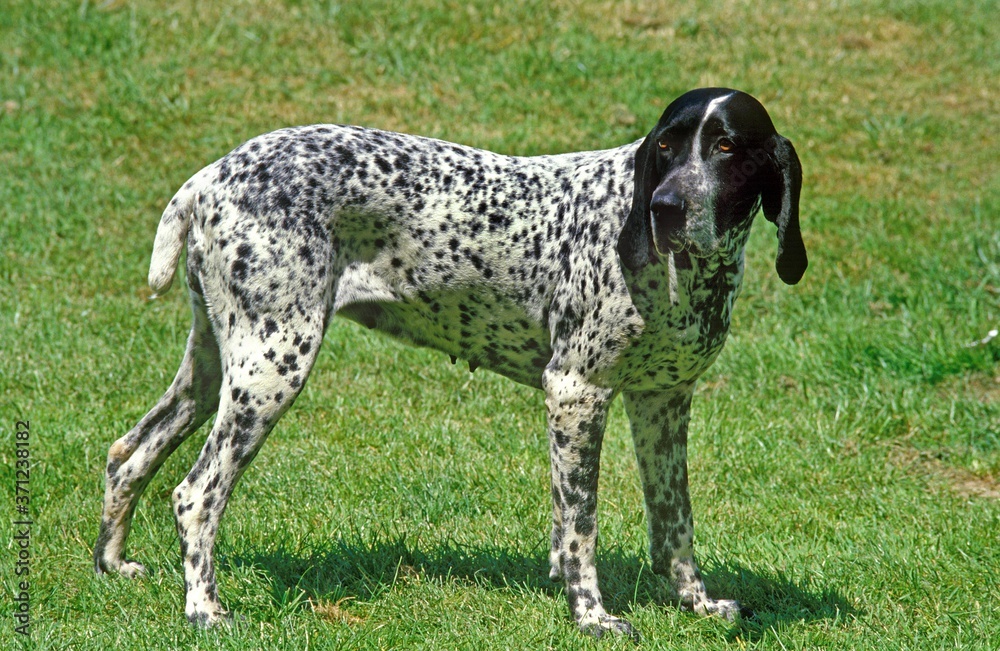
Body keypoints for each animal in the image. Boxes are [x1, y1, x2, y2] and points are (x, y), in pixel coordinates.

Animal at [95, 88, 804, 640]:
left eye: (725, 147)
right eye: (666, 149)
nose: (667, 208)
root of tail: (211, 175)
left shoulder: (663, 402)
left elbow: (673, 525)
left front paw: (695, 603)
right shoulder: (576, 392)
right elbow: (580, 530)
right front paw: (591, 616)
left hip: (216, 369)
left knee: (129, 452)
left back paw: (114, 565)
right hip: (272, 368)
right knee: (196, 494)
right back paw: (205, 610)